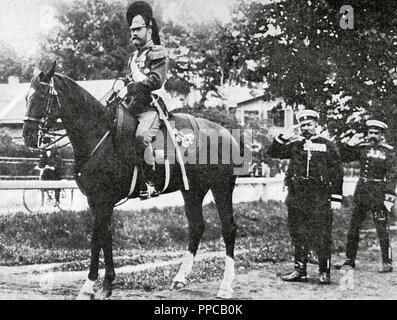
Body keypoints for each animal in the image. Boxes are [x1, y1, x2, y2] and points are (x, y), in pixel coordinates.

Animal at [21, 63, 249, 298]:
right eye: (27, 97)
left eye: (41, 95)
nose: (27, 135)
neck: (100, 135)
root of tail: (226, 132)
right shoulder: (96, 201)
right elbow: (105, 237)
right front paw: (106, 283)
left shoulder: (103, 200)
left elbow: (96, 238)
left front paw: (91, 285)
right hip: (193, 190)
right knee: (196, 227)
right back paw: (180, 278)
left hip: (222, 187)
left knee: (229, 229)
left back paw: (225, 285)